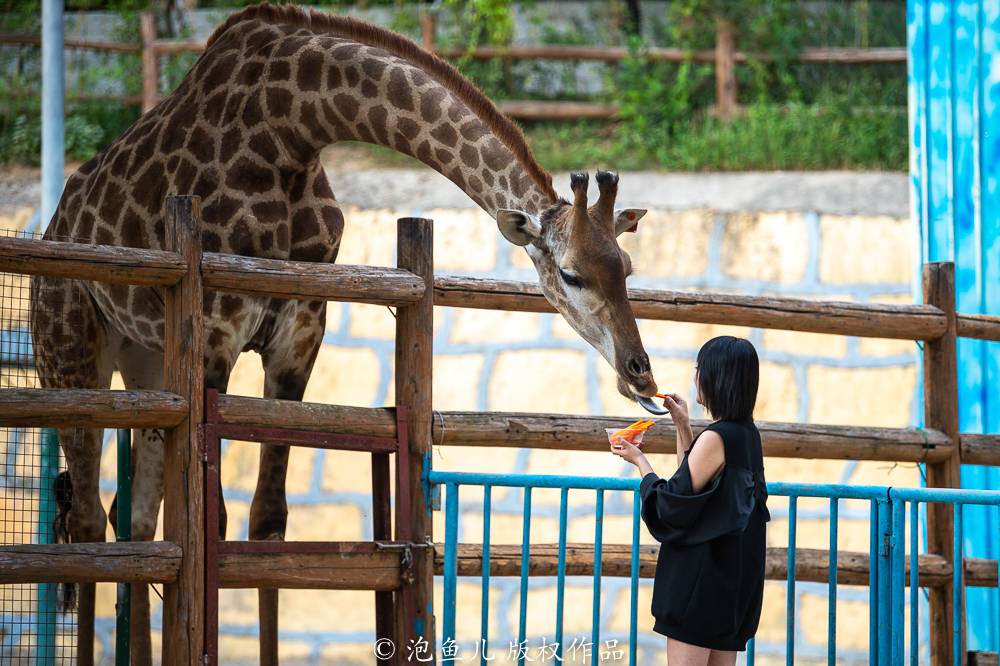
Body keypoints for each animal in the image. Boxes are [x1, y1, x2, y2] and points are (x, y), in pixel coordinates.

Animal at [27, 2, 660, 660]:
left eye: (627, 267)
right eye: (572, 274)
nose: (641, 373)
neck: (293, 128)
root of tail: (54, 224)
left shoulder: (299, 335)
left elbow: (266, 523)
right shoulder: (216, 335)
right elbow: (214, 528)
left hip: (148, 366)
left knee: (137, 522)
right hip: (70, 353)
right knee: (88, 522)